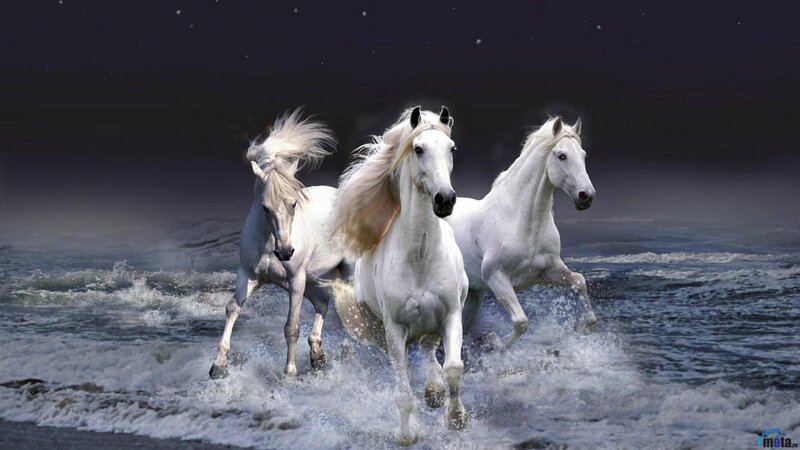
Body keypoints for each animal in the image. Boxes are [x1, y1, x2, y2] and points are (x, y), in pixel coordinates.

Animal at [209, 109, 354, 379]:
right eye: (265, 207)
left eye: (294, 203)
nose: (285, 252)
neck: (269, 244)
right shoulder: (248, 275)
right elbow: (232, 308)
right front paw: (218, 366)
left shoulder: (295, 281)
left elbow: (291, 327)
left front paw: (289, 373)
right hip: (315, 278)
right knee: (323, 303)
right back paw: (317, 355)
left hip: (344, 272)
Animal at [329, 106, 469, 445]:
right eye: (418, 149)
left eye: (452, 148)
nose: (445, 199)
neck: (419, 256)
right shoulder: (394, 329)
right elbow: (403, 391)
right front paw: (407, 435)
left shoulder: (451, 314)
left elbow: (453, 368)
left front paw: (456, 418)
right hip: (382, 330)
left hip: (434, 322)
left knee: (429, 348)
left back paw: (434, 391)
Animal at [445, 117, 597, 348]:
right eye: (561, 156)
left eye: (583, 155)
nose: (586, 196)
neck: (523, 222)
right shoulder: (496, 277)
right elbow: (521, 321)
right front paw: (493, 341)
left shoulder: (548, 271)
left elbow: (579, 281)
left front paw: (581, 327)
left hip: (473, 295)